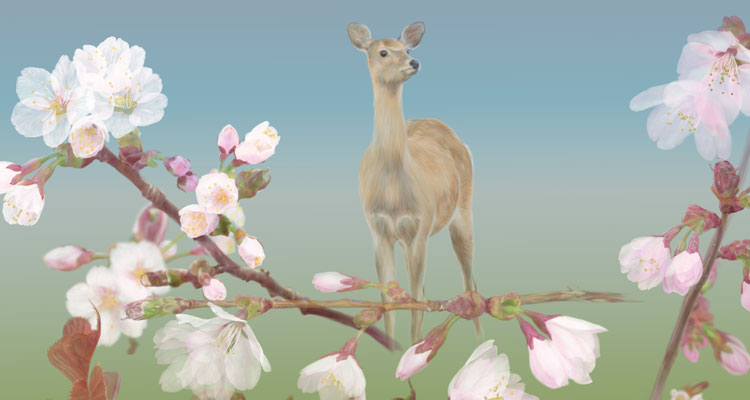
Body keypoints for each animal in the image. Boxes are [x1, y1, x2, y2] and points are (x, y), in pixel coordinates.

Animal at [348, 22, 479, 344]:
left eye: (407, 48)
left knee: (470, 281)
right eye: (382, 51)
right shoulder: (379, 231)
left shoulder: (419, 228)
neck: (393, 194)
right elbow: (390, 300)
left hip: (462, 210)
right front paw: (391, 346)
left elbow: (416, 303)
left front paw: (413, 349)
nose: (414, 62)